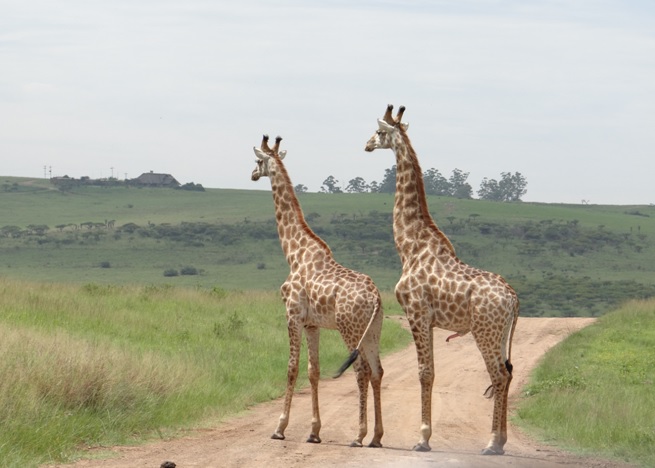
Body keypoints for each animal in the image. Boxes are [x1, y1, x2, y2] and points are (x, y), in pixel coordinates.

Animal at [250, 134, 384, 446]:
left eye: (258, 161)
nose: (251, 175)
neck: (294, 252)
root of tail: (375, 296)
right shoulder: (312, 324)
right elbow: (314, 371)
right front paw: (313, 432)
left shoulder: (293, 316)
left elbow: (292, 368)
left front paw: (280, 428)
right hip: (373, 330)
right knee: (377, 371)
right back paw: (376, 436)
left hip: (350, 328)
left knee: (362, 370)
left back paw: (359, 435)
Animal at [364, 105, 516, 454]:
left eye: (378, 132)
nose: (366, 145)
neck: (409, 246)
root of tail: (513, 297)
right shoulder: (429, 320)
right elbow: (429, 372)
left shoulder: (417, 313)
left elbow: (425, 373)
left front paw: (422, 439)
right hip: (501, 333)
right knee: (508, 374)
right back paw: (501, 441)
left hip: (486, 331)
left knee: (499, 376)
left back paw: (492, 443)